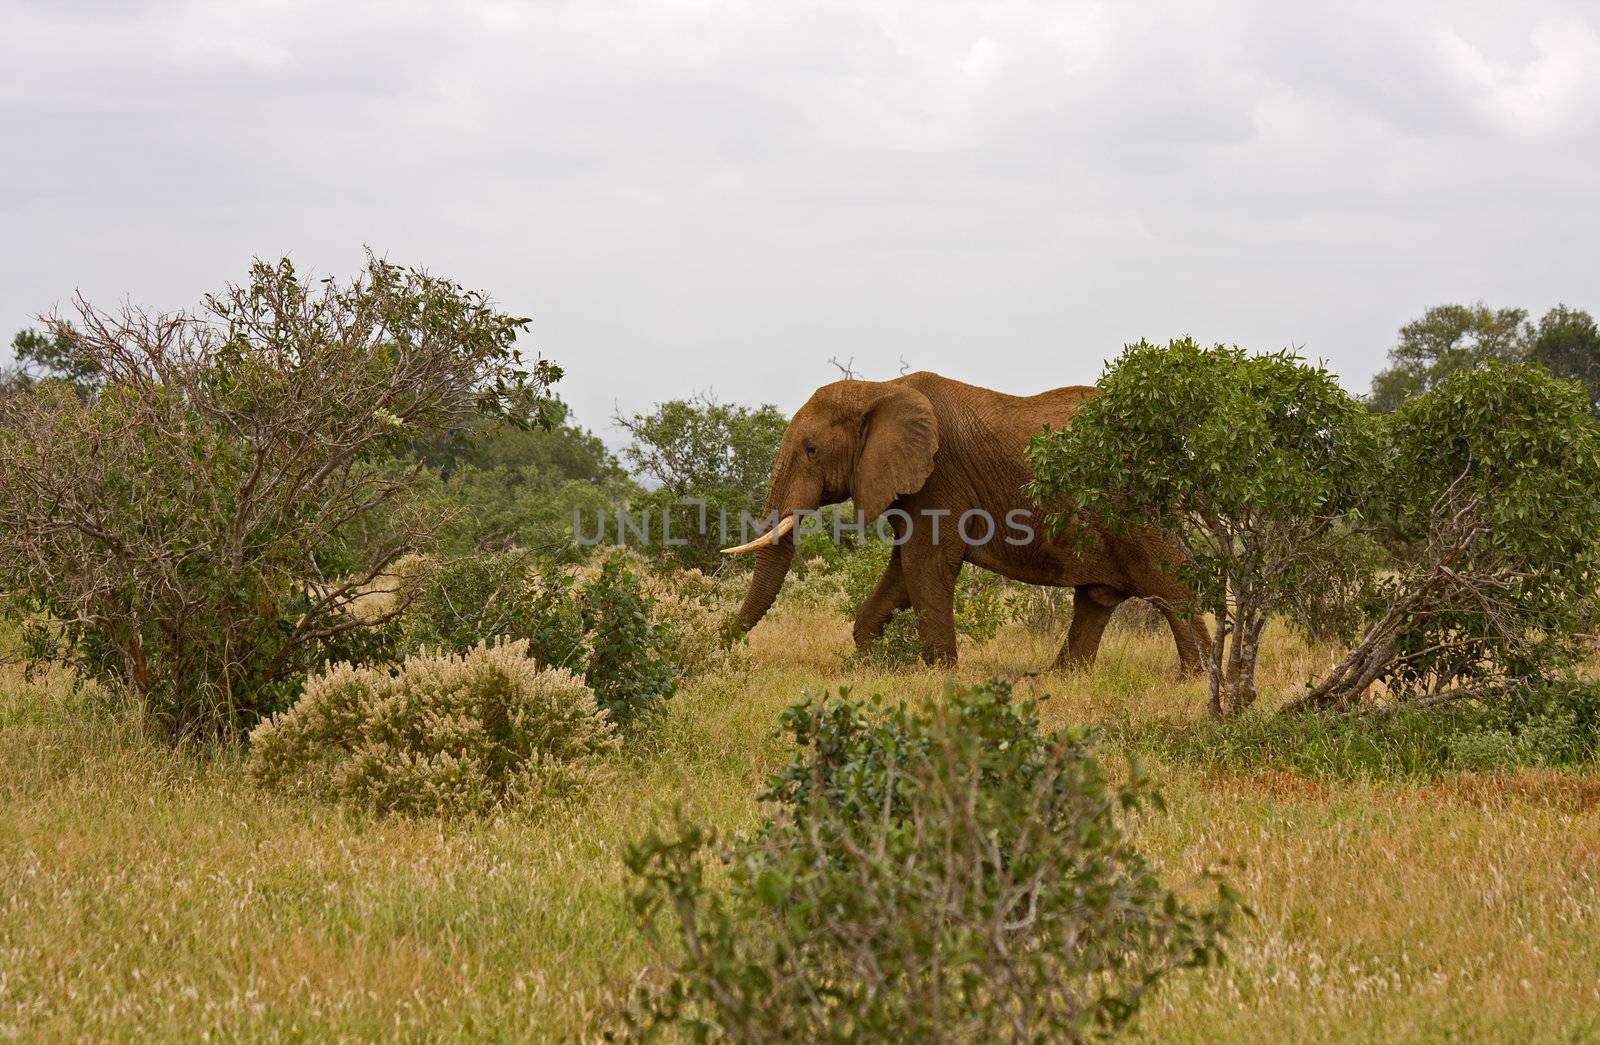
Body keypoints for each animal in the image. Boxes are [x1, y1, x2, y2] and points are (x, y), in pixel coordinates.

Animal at [723, 371, 1203, 672]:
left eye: (811, 450)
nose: (722, 643)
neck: (881, 388)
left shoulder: (940, 478)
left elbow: (925, 566)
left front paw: (940, 674)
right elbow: (903, 573)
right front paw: (871, 662)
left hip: (1135, 510)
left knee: (1170, 586)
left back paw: (1192, 681)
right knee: (1096, 600)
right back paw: (1062, 678)